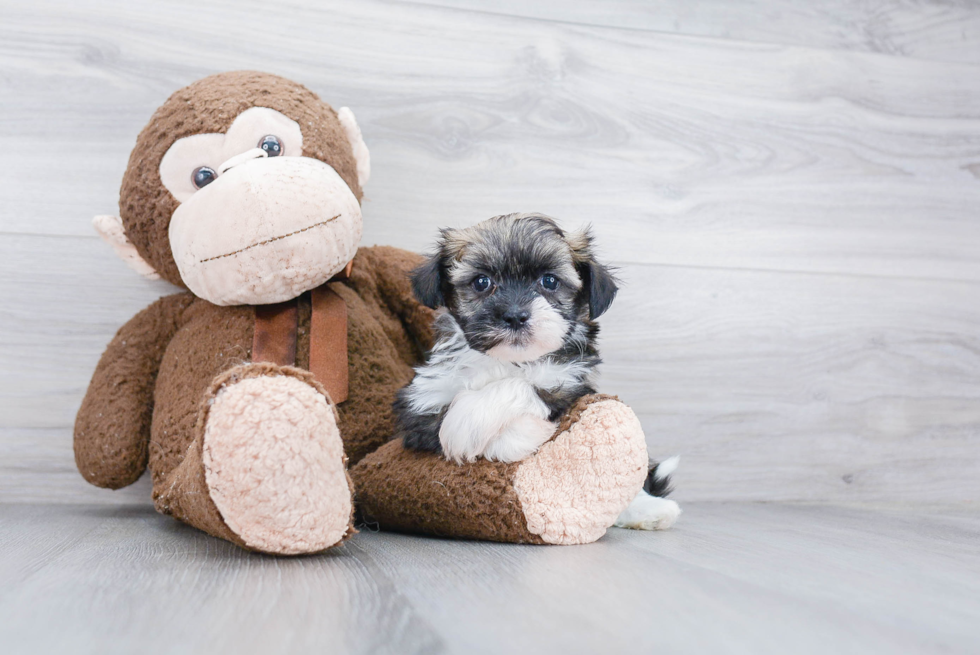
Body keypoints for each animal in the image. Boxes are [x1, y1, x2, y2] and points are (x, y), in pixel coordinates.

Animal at [394, 213, 676, 532]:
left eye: (549, 281)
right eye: (482, 282)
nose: (515, 315)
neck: (507, 361)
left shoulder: (569, 383)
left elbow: (524, 387)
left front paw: (479, 425)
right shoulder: (423, 401)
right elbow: (438, 423)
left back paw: (652, 510)